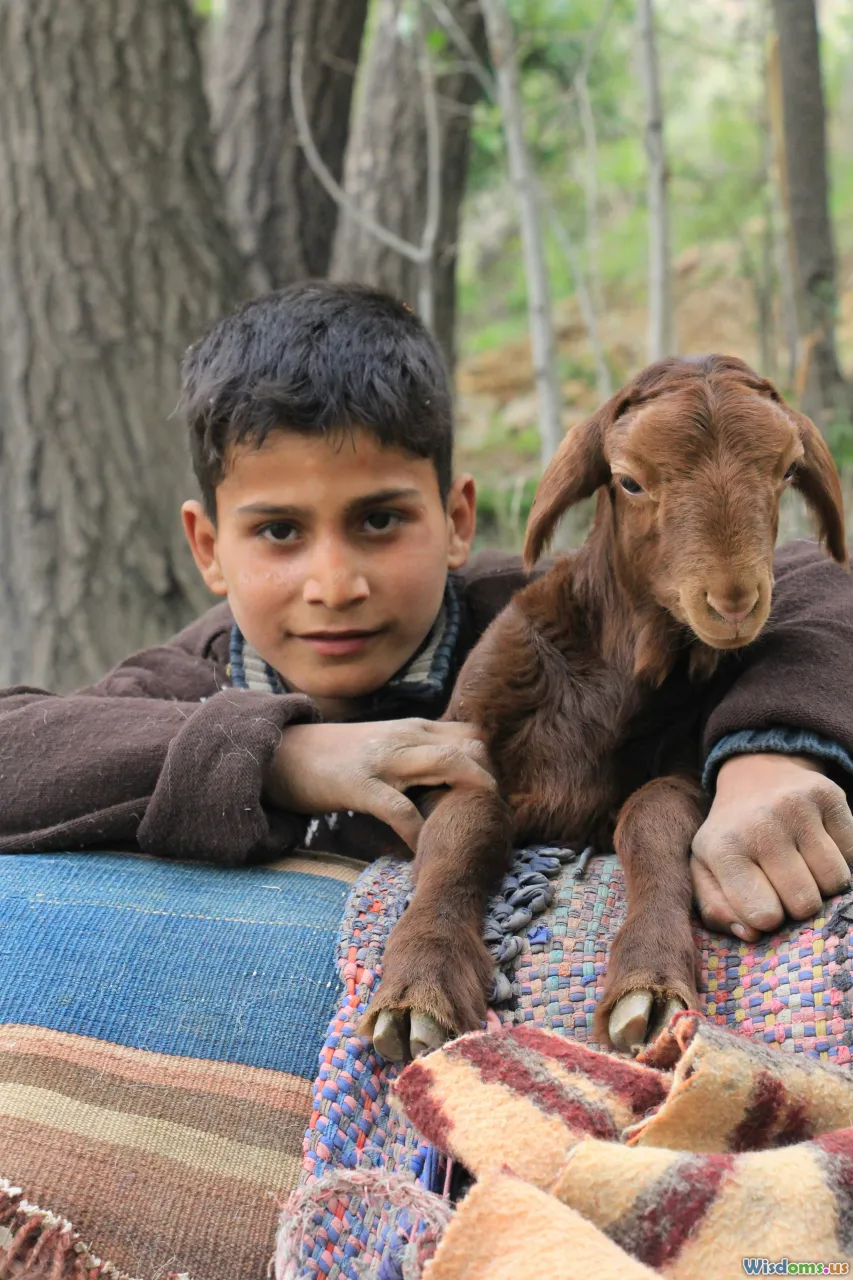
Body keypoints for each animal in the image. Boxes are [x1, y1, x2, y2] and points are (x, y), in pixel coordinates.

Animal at [362, 354, 848, 1063]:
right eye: (629, 481)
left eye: (786, 471)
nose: (733, 601)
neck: (617, 666)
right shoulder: (460, 755)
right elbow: (465, 825)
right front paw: (418, 982)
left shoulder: (680, 763)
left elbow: (653, 818)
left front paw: (648, 981)